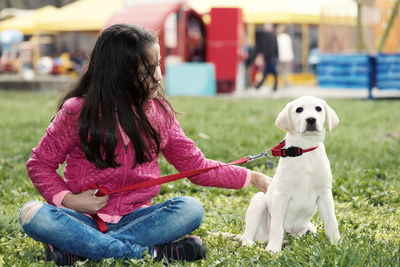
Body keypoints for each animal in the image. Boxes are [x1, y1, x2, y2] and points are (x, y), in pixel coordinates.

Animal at [241, 96, 340, 253]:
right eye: (299, 109)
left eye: (318, 108)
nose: (311, 119)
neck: (304, 150)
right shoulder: (281, 195)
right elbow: (276, 226)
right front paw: (273, 250)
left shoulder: (325, 194)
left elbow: (331, 221)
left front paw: (336, 244)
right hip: (259, 200)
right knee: (247, 233)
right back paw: (249, 243)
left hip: (309, 227)